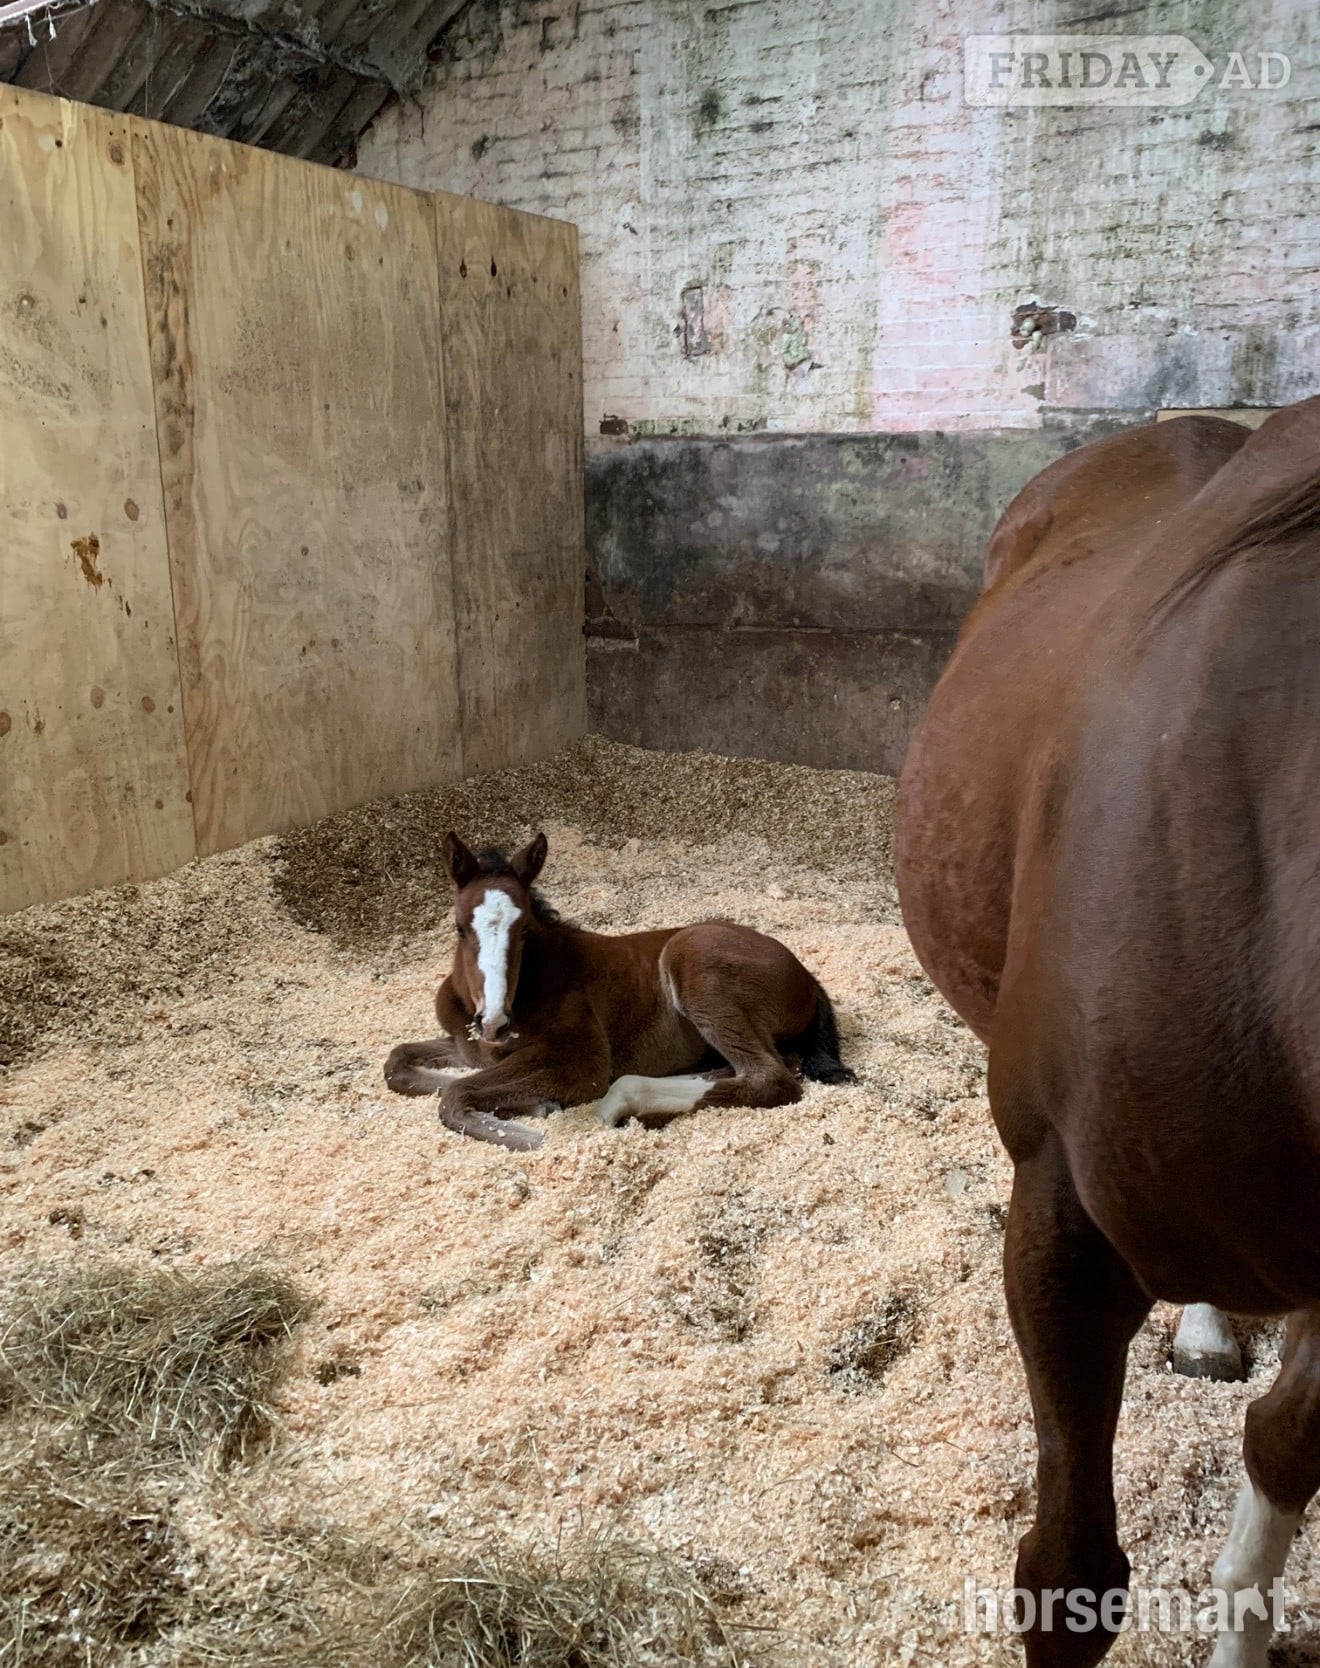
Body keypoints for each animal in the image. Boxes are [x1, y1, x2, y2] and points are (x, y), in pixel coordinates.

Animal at [384, 831, 854, 1150]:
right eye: (459, 928)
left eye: (525, 930)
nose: (495, 1022)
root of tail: (805, 973)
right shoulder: (467, 1047)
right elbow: (399, 1064)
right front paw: (531, 1104)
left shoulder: (581, 1061)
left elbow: (456, 1093)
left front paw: (532, 1125)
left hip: (697, 968)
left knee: (770, 1077)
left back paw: (621, 1105)